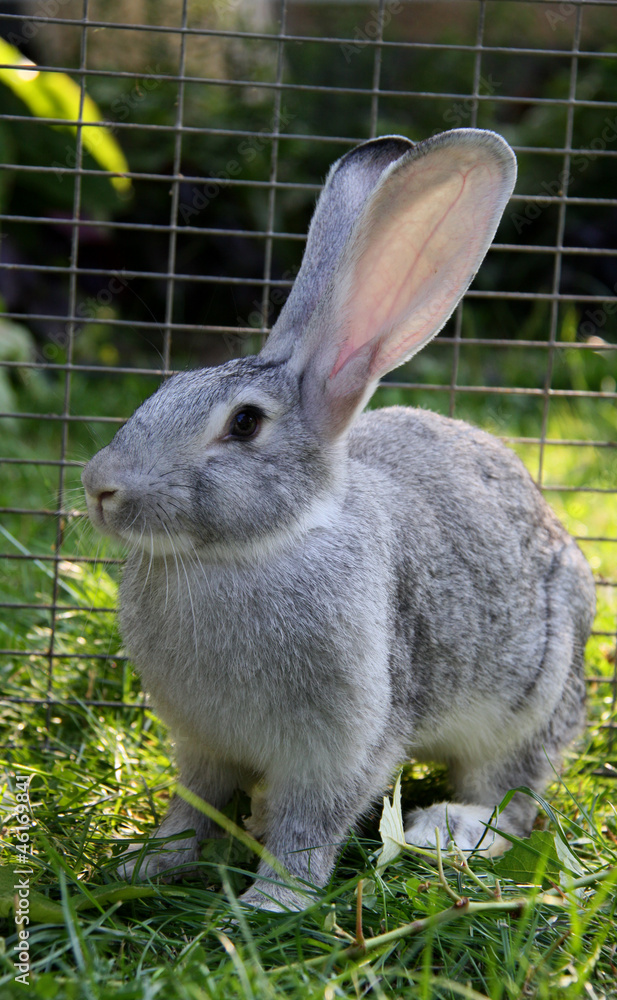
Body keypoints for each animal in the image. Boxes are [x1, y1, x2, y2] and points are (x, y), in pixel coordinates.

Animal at [82, 128, 596, 912]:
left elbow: (309, 825)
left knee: (512, 796)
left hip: (534, 696)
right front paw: (148, 866)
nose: (99, 486)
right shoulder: (202, 745)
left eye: (244, 425)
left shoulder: (343, 749)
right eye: (164, 389)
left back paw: (445, 831)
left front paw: (272, 903)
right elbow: (192, 805)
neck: (251, 550)